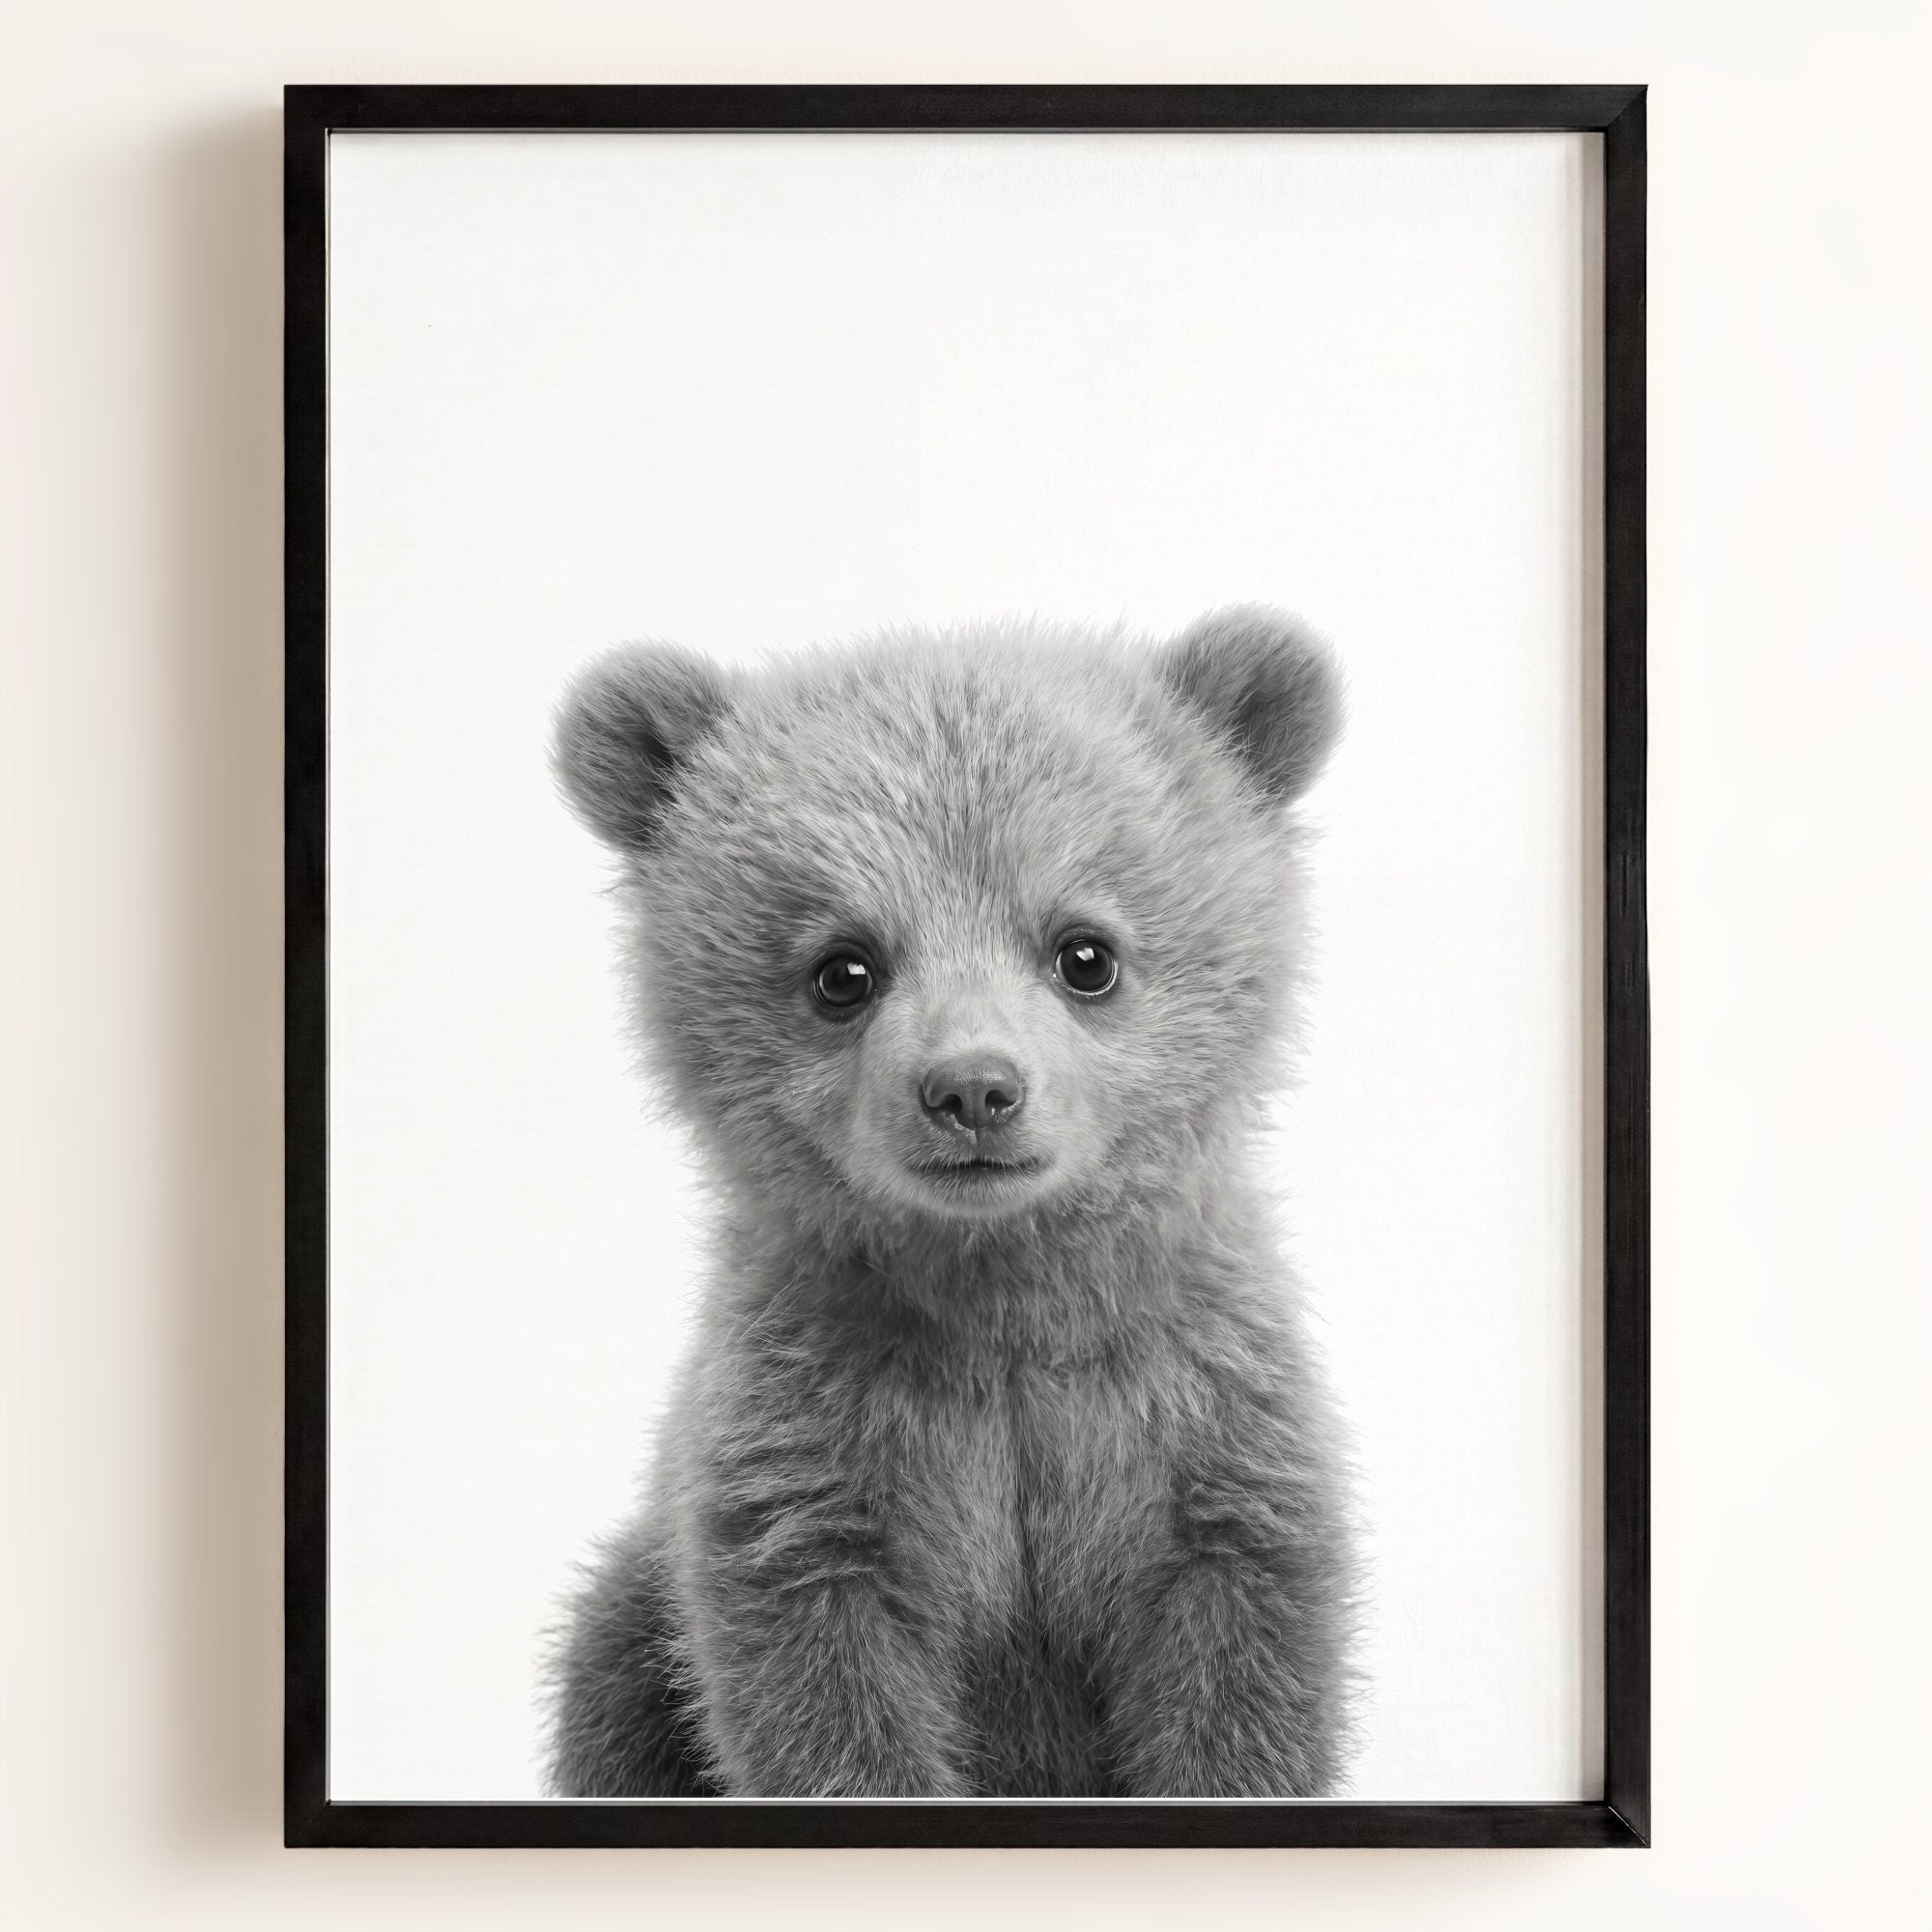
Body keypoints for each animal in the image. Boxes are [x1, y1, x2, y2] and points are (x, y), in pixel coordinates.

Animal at [543, 606, 1359, 1799]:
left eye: (1084, 951)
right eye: (842, 967)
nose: (973, 1088)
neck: (1002, 1300)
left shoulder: (1197, 1428)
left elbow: (1237, 1679)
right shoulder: (816, 1453)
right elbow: (824, 1696)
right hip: (633, 1631)